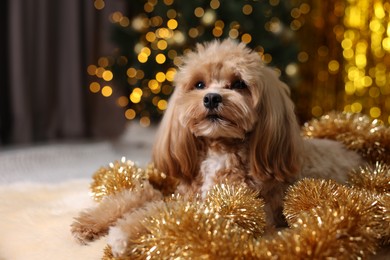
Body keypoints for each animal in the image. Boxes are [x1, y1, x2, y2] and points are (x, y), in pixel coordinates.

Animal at [71, 39, 362, 256]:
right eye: (199, 84)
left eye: (239, 84)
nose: (211, 98)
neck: (219, 150)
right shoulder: (186, 194)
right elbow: (140, 196)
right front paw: (91, 222)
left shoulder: (238, 208)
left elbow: (166, 214)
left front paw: (124, 234)